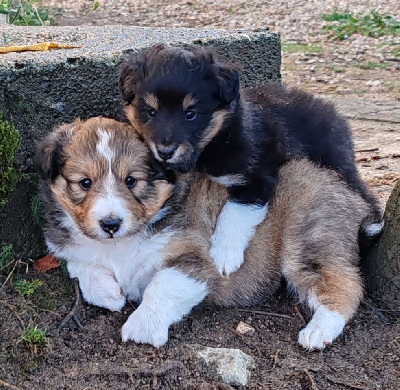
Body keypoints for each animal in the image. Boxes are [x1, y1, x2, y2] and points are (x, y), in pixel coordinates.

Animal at [36, 116, 374, 350]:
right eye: (84, 183)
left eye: (131, 180)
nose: (110, 224)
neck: (121, 243)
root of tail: (352, 196)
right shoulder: (71, 249)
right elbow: (81, 267)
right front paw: (109, 295)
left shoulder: (195, 261)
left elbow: (161, 286)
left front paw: (142, 327)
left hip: (307, 241)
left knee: (346, 287)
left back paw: (318, 332)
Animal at [118, 44, 382, 276]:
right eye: (150, 111)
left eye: (190, 114)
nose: (165, 151)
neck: (212, 145)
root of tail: (334, 113)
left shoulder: (255, 179)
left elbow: (233, 213)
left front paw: (224, 256)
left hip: (336, 161)